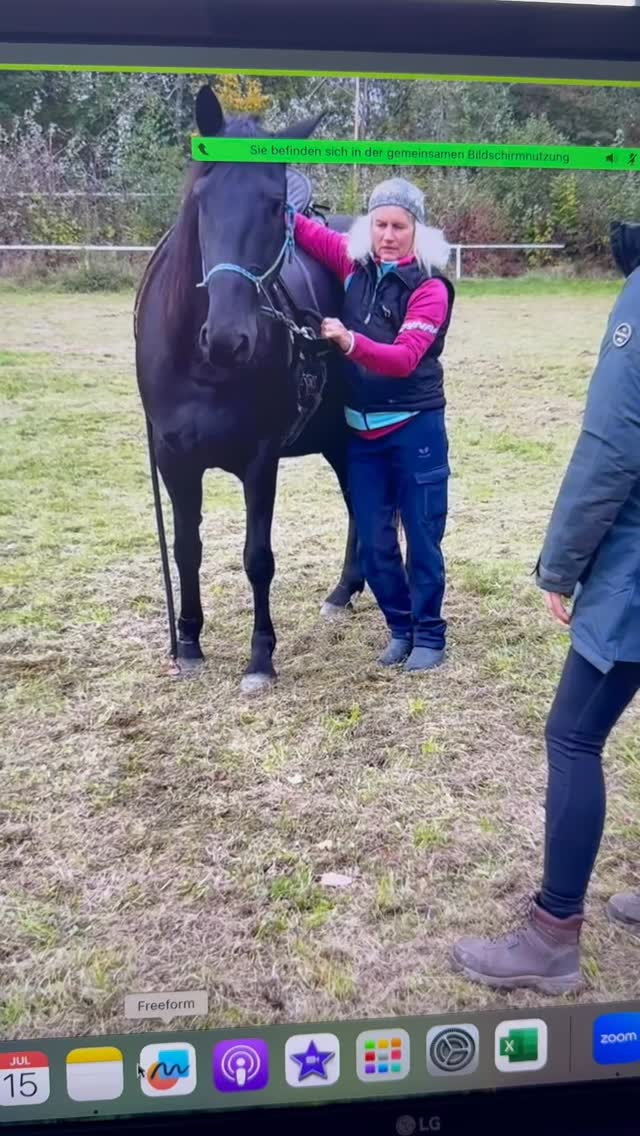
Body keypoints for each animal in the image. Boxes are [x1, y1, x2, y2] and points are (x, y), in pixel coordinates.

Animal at [134, 85, 364, 693]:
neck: (201, 365)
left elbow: (258, 557)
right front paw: (189, 642)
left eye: (274, 203)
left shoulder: (260, 460)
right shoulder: (173, 458)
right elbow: (186, 548)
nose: (229, 338)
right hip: (338, 439)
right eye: (203, 198)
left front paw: (260, 656)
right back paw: (345, 589)